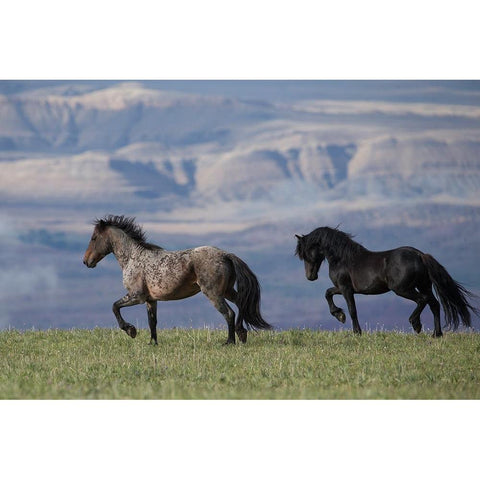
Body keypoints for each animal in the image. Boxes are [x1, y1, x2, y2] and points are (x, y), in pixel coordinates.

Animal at [84, 215, 272, 344]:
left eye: (94, 238)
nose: (86, 261)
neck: (133, 258)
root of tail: (226, 255)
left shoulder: (136, 296)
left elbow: (115, 306)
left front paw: (131, 330)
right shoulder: (151, 300)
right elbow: (152, 321)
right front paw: (152, 343)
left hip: (213, 293)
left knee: (229, 313)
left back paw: (229, 341)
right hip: (226, 291)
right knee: (241, 303)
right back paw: (242, 334)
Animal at [294, 226, 478, 336]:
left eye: (306, 253)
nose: (310, 276)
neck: (342, 259)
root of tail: (419, 255)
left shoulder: (346, 288)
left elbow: (352, 310)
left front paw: (355, 330)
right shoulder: (342, 288)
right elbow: (328, 293)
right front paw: (339, 315)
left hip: (402, 289)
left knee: (422, 300)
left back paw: (416, 325)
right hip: (423, 285)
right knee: (434, 304)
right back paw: (436, 334)